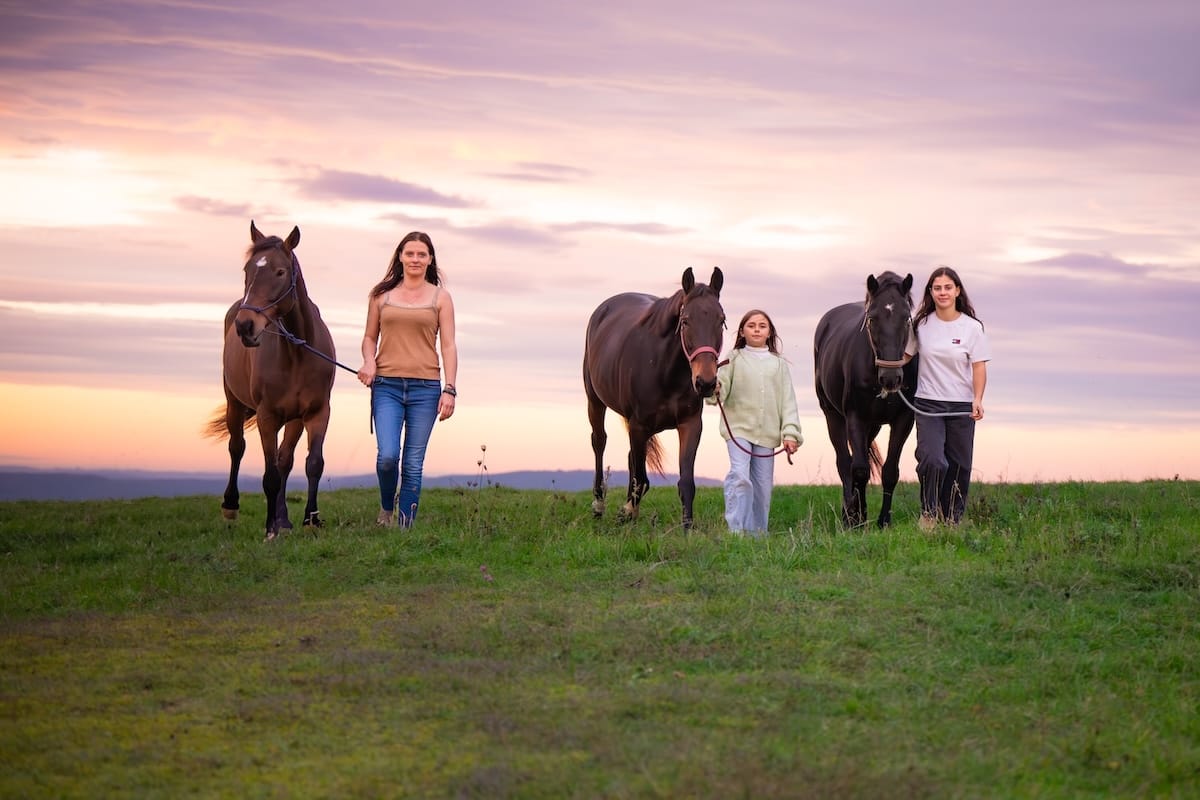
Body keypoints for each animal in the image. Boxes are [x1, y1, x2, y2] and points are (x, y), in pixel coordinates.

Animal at [204, 221, 336, 541]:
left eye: (280, 272)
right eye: (247, 270)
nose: (245, 326)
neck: (298, 352)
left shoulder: (315, 413)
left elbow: (311, 464)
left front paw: (310, 520)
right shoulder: (267, 416)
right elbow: (270, 475)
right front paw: (270, 529)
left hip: (294, 419)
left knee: (285, 459)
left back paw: (284, 518)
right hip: (234, 402)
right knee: (237, 447)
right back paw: (232, 506)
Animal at [583, 267, 725, 529]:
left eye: (721, 321)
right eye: (685, 321)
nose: (705, 382)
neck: (664, 369)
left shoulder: (690, 425)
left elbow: (686, 482)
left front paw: (687, 529)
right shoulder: (638, 425)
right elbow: (639, 476)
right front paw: (629, 514)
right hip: (595, 401)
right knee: (599, 442)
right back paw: (599, 506)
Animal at [813, 271, 918, 528]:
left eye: (907, 319)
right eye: (871, 319)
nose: (891, 378)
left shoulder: (904, 420)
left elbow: (890, 471)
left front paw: (883, 521)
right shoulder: (855, 418)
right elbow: (858, 469)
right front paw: (855, 520)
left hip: (874, 425)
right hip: (832, 415)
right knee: (844, 463)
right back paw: (849, 514)